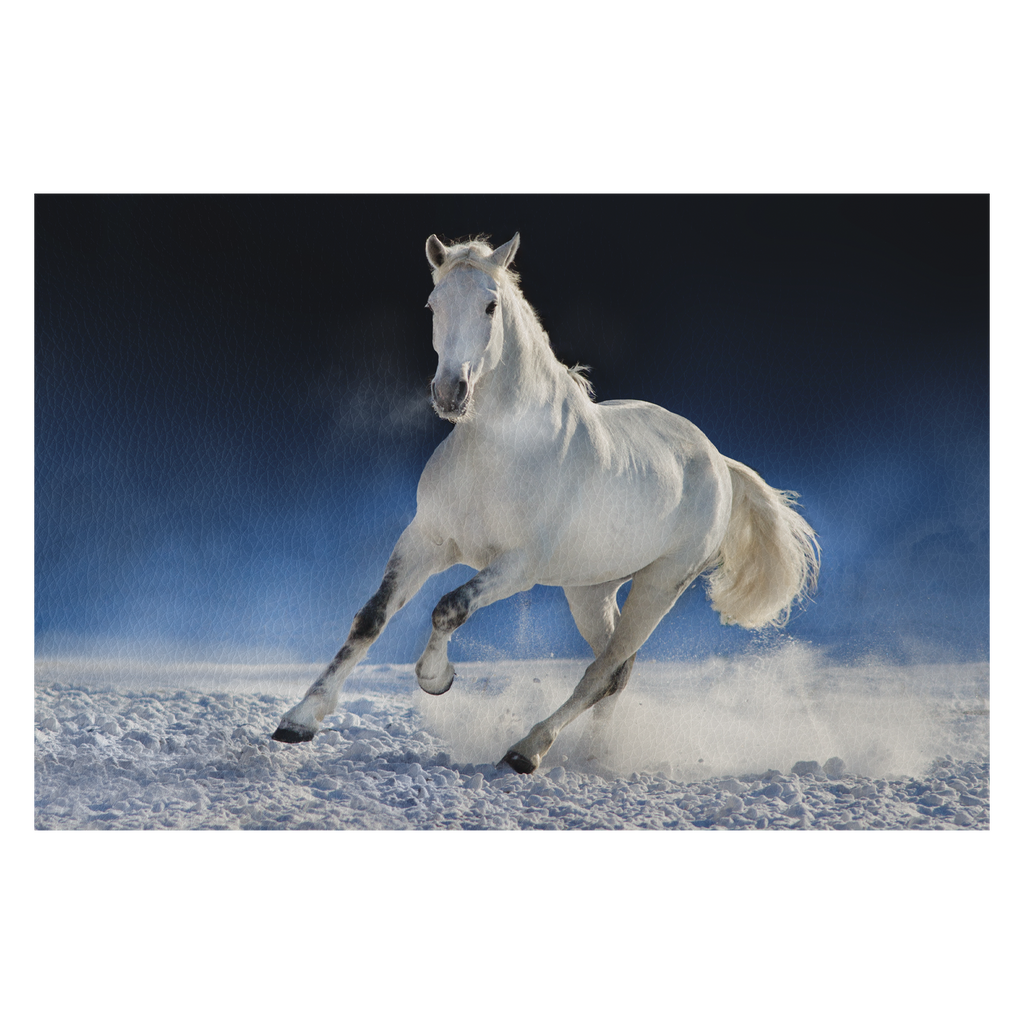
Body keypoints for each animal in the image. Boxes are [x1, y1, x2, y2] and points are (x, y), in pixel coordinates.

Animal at [276, 232, 819, 770]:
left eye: (491, 305)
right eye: (432, 304)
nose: (450, 392)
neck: (499, 452)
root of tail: (718, 461)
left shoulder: (518, 566)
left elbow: (450, 607)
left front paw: (435, 678)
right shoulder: (426, 541)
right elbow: (371, 618)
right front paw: (298, 721)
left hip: (661, 585)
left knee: (603, 670)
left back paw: (527, 750)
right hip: (591, 589)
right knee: (617, 672)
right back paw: (593, 756)